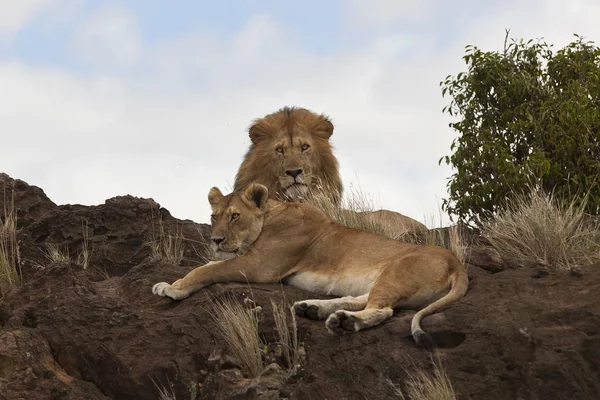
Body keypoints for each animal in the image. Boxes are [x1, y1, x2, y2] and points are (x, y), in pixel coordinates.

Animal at [154, 184, 468, 346]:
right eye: (213, 216)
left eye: (234, 216)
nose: (216, 239)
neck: (271, 215)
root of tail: (456, 261)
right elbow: (209, 263)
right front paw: (170, 283)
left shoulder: (260, 266)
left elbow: (207, 269)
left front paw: (174, 289)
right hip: (382, 279)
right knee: (362, 299)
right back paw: (313, 308)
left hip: (395, 272)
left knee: (383, 310)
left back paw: (343, 322)